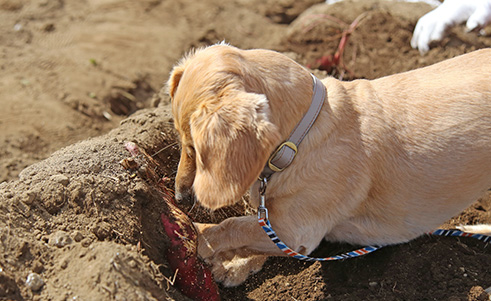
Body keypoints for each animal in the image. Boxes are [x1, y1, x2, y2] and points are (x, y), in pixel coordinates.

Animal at [167, 44, 490, 286]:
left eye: (194, 148)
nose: (179, 198)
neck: (303, 136)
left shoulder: (296, 232)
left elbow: (232, 226)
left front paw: (200, 239)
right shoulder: (277, 224)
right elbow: (254, 229)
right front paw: (235, 265)